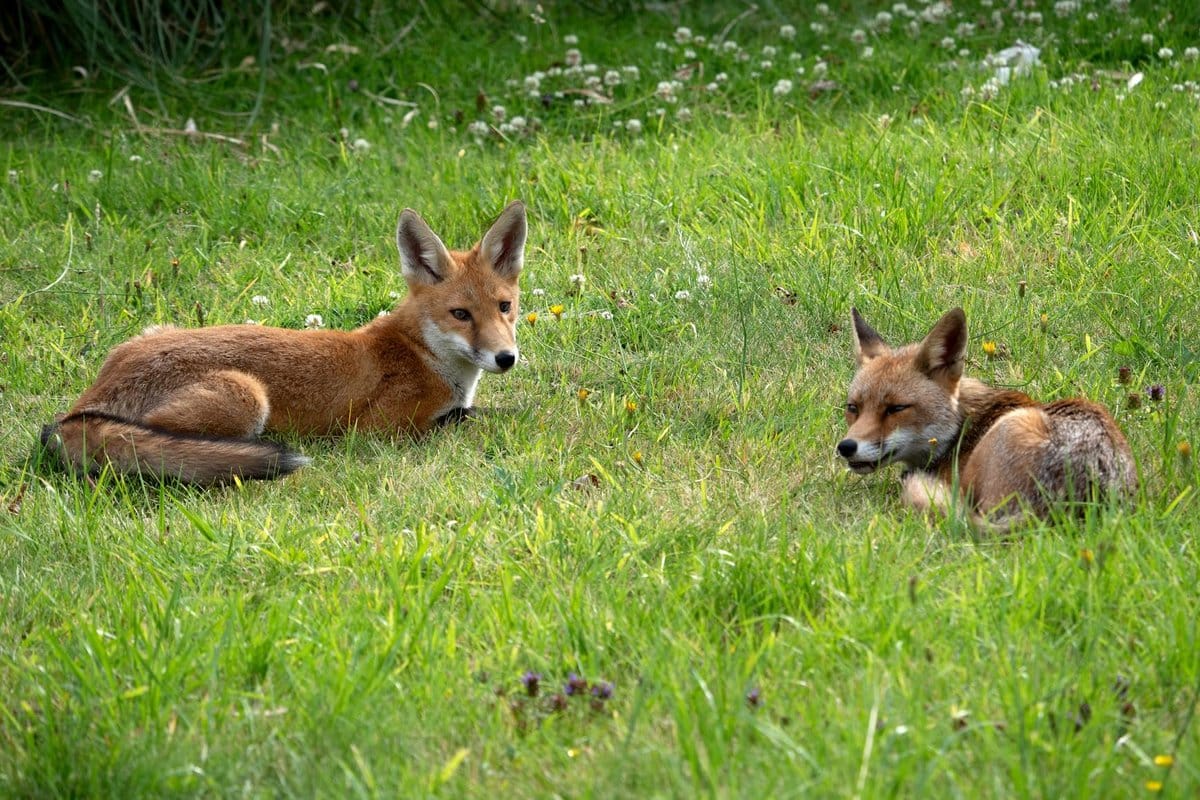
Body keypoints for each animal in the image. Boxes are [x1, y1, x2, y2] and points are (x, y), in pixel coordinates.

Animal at [40, 200, 528, 485]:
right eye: (460, 314)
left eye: (505, 307)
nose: (506, 358)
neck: (422, 353)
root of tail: (75, 412)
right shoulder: (383, 429)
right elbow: (478, 417)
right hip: (245, 397)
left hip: (156, 333)